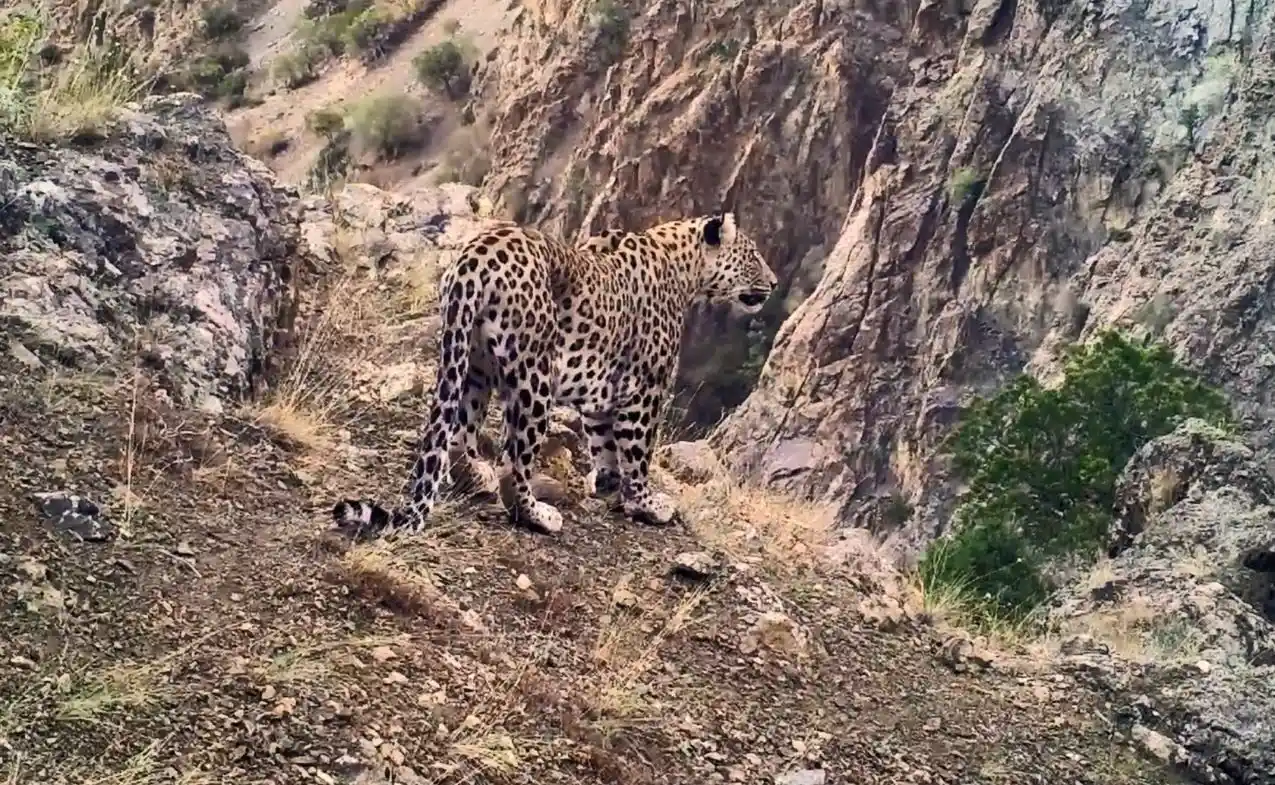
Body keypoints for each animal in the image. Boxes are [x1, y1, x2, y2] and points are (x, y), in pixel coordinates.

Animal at [331, 211, 775, 537]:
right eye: (752, 254)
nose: (773, 282)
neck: (684, 267)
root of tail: (476, 256)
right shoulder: (645, 389)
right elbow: (637, 452)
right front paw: (647, 502)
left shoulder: (606, 388)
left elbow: (603, 441)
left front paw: (609, 484)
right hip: (534, 378)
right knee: (514, 463)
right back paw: (537, 514)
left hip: (471, 364)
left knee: (457, 434)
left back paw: (476, 477)